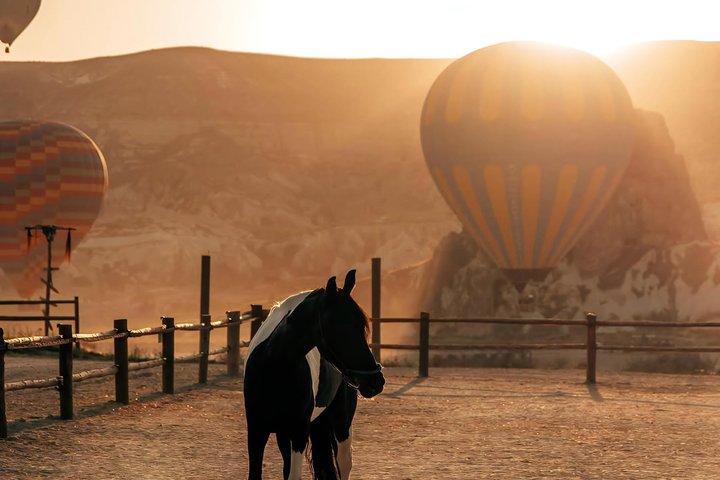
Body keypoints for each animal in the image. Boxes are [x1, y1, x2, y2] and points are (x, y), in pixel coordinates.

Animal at [244, 270, 385, 479]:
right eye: (338, 326)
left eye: (362, 326)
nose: (376, 381)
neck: (274, 367)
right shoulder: (256, 431)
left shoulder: (299, 433)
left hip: (341, 424)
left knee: (344, 464)